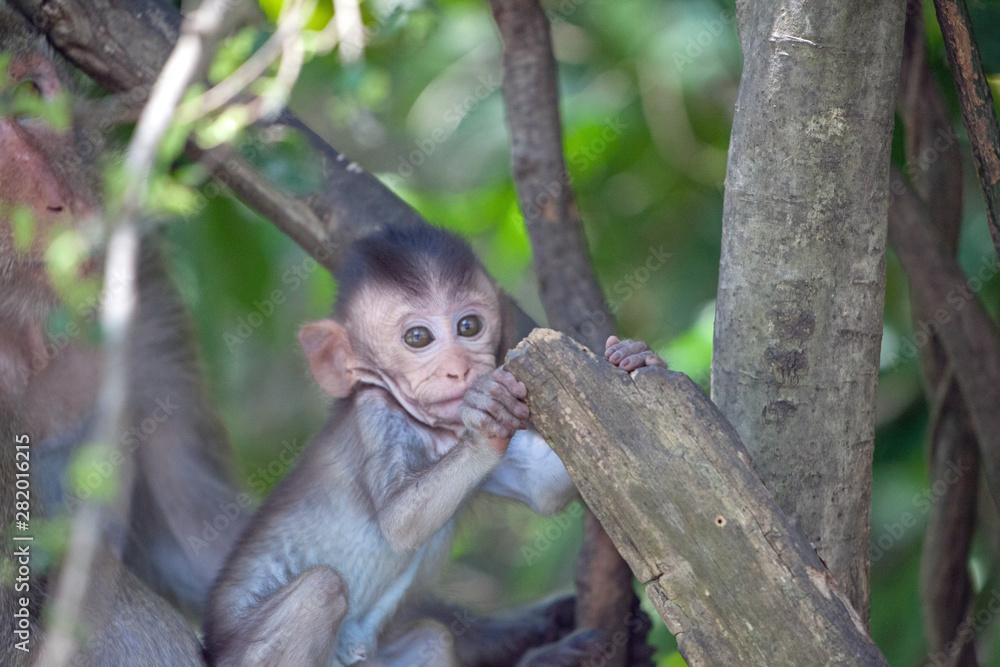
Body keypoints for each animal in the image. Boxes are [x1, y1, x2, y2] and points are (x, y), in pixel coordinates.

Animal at [203, 224, 666, 666]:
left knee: (431, 639)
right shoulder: (376, 416)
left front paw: (635, 356)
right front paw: (486, 418)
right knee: (320, 588)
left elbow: (542, 486)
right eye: (418, 337)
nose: (458, 370)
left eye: (469, 326)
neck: (429, 427)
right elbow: (399, 521)